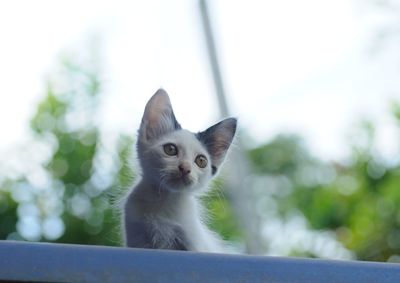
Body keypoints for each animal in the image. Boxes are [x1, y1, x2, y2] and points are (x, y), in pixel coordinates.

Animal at [123, 89, 236, 253]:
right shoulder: (137, 237)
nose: (185, 168)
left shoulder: (193, 244)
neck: (164, 201)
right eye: (170, 149)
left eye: (201, 161)